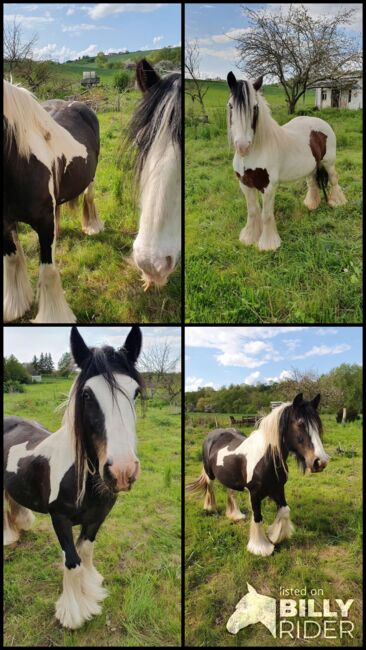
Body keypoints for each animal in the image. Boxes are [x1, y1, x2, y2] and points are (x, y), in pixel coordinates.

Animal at [3, 81, 102, 322]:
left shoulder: (43, 225)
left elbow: (47, 270)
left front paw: (53, 318)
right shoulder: (5, 223)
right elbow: (12, 260)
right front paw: (15, 306)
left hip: (91, 177)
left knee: (89, 197)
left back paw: (92, 227)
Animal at [4, 326, 142, 624]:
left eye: (135, 393)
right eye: (87, 395)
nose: (122, 470)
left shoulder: (98, 517)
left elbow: (86, 551)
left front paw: (92, 589)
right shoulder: (60, 519)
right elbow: (72, 560)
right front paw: (73, 613)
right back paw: (8, 537)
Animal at [187, 392, 330, 556]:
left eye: (318, 425)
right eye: (300, 424)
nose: (320, 462)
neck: (267, 459)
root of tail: (213, 434)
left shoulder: (278, 489)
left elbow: (285, 510)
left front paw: (274, 536)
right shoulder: (255, 494)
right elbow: (257, 517)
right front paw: (261, 547)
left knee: (231, 492)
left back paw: (235, 515)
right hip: (210, 474)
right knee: (210, 488)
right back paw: (210, 508)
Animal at [227, 73, 348, 251]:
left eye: (255, 108)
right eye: (231, 106)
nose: (242, 146)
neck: (257, 150)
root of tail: (321, 122)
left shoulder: (268, 187)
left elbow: (266, 214)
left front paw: (268, 244)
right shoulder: (245, 184)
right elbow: (253, 211)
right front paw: (249, 238)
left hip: (329, 163)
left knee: (333, 180)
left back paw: (337, 203)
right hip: (311, 167)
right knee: (312, 183)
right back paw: (311, 204)